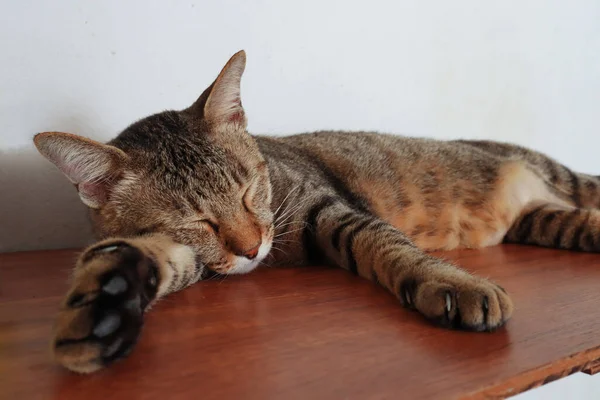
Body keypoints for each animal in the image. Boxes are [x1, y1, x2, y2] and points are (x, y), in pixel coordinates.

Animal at [34, 50, 600, 376]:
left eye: (249, 190)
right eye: (196, 223)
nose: (252, 247)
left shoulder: (327, 208)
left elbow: (392, 246)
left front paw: (453, 282)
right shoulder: (188, 253)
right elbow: (132, 256)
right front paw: (105, 304)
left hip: (564, 178)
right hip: (549, 220)